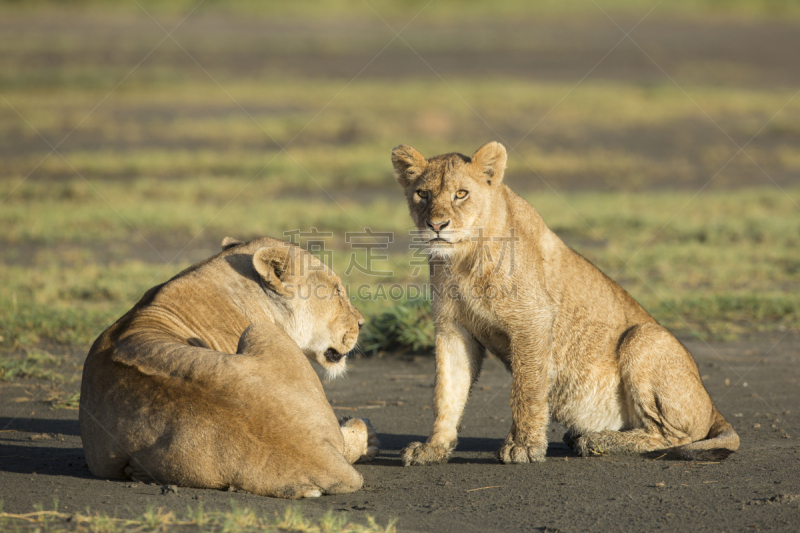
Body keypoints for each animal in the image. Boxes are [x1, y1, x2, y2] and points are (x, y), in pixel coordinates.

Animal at [390, 143, 740, 464]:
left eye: (461, 194)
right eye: (422, 194)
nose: (437, 225)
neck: (462, 258)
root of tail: (713, 407)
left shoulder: (532, 321)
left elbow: (526, 389)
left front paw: (524, 447)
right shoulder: (452, 328)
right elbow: (447, 392)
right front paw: (433, 448)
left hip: (645, 336)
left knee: (671, 436)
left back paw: (598, 441)